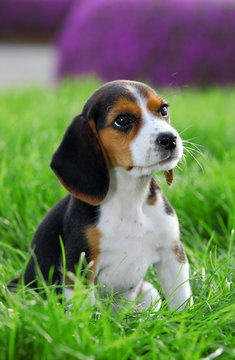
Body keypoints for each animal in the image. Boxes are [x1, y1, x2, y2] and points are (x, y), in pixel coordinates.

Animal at [9, 80, 193, 310]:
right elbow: (84, 313)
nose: (170, 139)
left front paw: (185, 319)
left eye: (163, 110)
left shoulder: (172, 254)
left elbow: (182, 301)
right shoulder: (79, 265)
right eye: (122, 120)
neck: (130, 198)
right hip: (20, 292)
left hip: (149, 292)